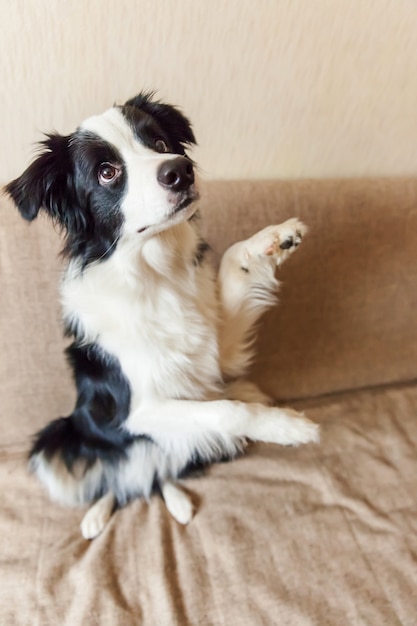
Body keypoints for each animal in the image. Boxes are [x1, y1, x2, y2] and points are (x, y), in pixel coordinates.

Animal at [5, 91, 318, 536]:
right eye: (107, 172)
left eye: (159, 142)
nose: (181, 171)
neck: (155, 274)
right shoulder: (141, 411)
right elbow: (228, 409)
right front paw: (289, 427)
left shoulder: (215, 359)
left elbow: (233, 260)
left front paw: (273, 239)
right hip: (56, 440)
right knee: (120, 480)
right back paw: (96, 516)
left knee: (161, 472)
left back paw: (177, 502)